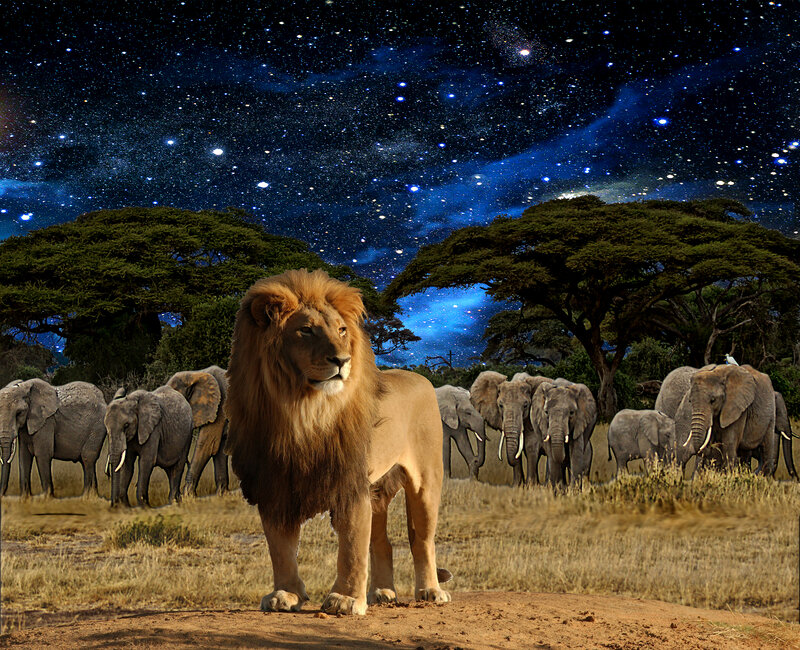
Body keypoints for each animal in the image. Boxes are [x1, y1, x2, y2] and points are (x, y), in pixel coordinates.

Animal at [167, 365, 230, 496]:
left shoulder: (219, 407)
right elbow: (218, 449)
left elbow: (206, 445)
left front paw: (188, 495)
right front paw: (222, 494)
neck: (193, 374)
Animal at [225, 268, 451, 616]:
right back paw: (382, 593)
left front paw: (345, 600)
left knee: (421, 539)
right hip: (378, 488)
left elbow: (352, 545)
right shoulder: (275, 483)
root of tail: (420, 377)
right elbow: (280, 547)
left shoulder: (349, 482)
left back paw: (430, 591)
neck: (302, 411)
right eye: (305, 330)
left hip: (426, 481)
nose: (342, 360)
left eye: (342, 330)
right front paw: (285, 594)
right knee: (382, 541)